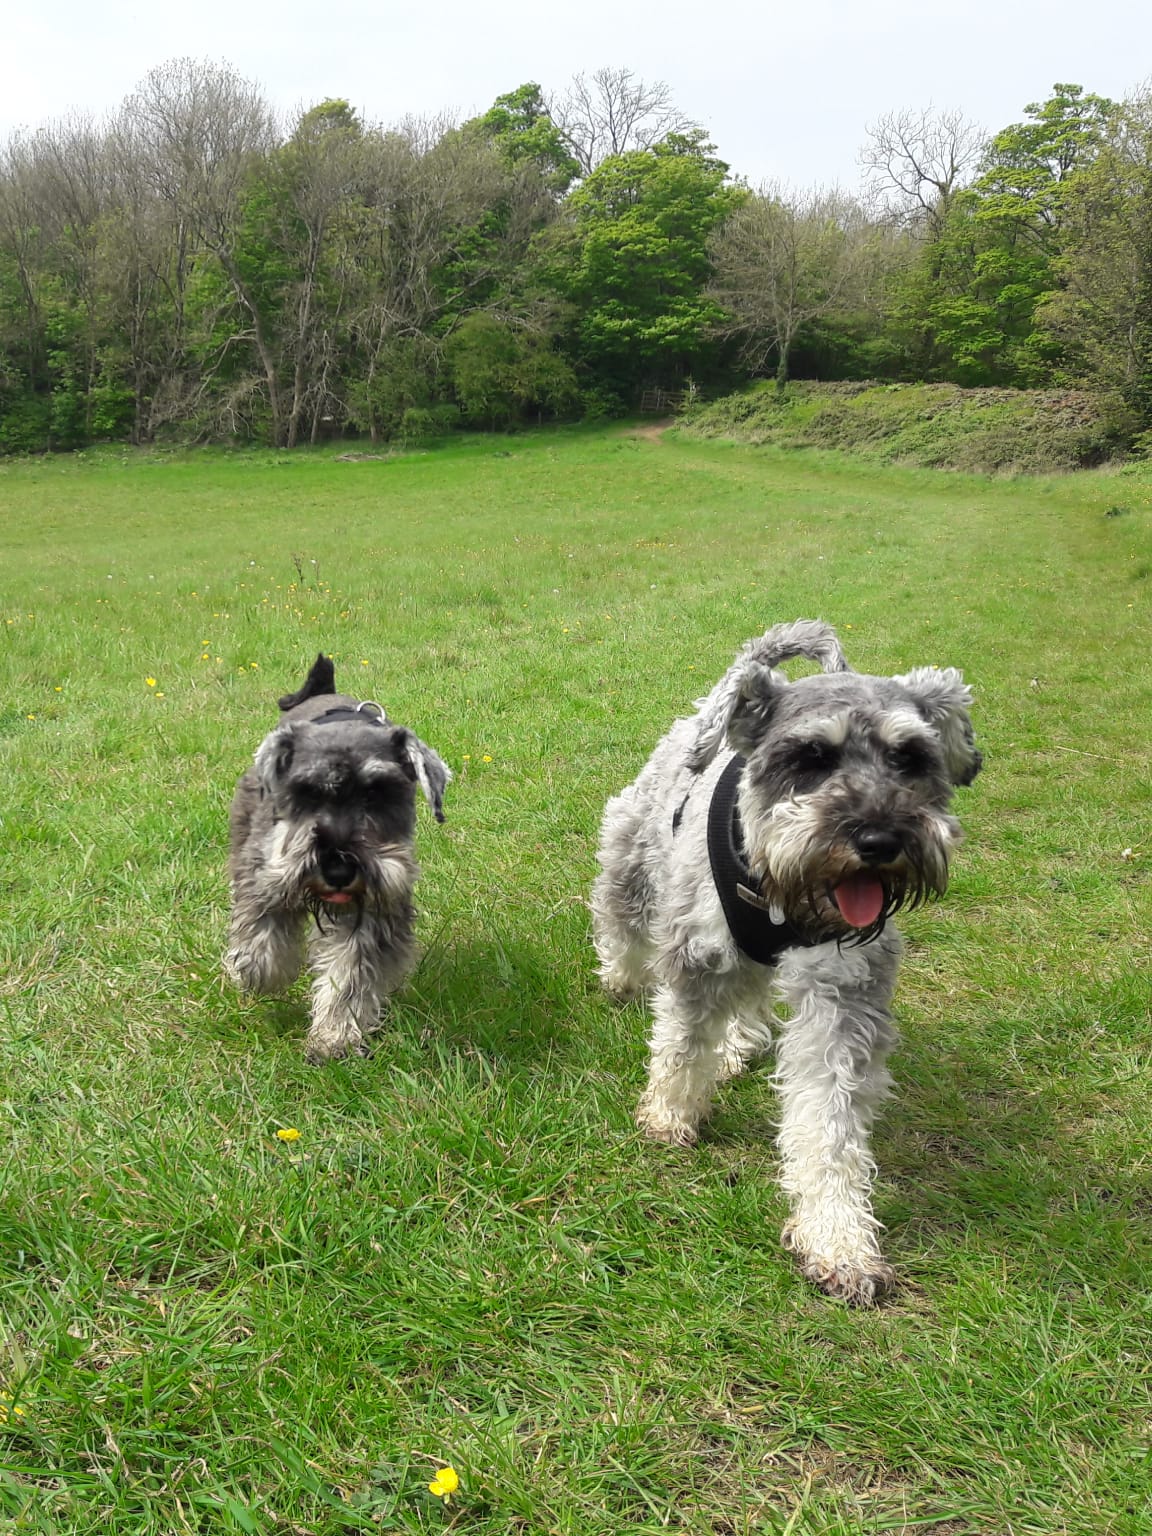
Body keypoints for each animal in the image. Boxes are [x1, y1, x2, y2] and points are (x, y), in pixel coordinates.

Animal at [224, 654, 451, 1062]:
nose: (339, 869)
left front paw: (334, 1038)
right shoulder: (264, 874)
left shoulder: (375, 907)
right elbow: (260, 934)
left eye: (377, 793)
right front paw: (256, 973)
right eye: (306, 792)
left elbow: (350, 973)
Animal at [595, 617, 983, 1302]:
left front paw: (838, 1240)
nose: (879, 839)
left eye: (910, 758)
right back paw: (620, 978)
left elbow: (830, 1122)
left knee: (750, 997)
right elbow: (679, 1043)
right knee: (622, 923)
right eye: (810, 758)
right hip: (630, 855)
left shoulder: (844, 995)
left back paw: (736, 1045)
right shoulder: (695, 957)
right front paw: (669, 1116)